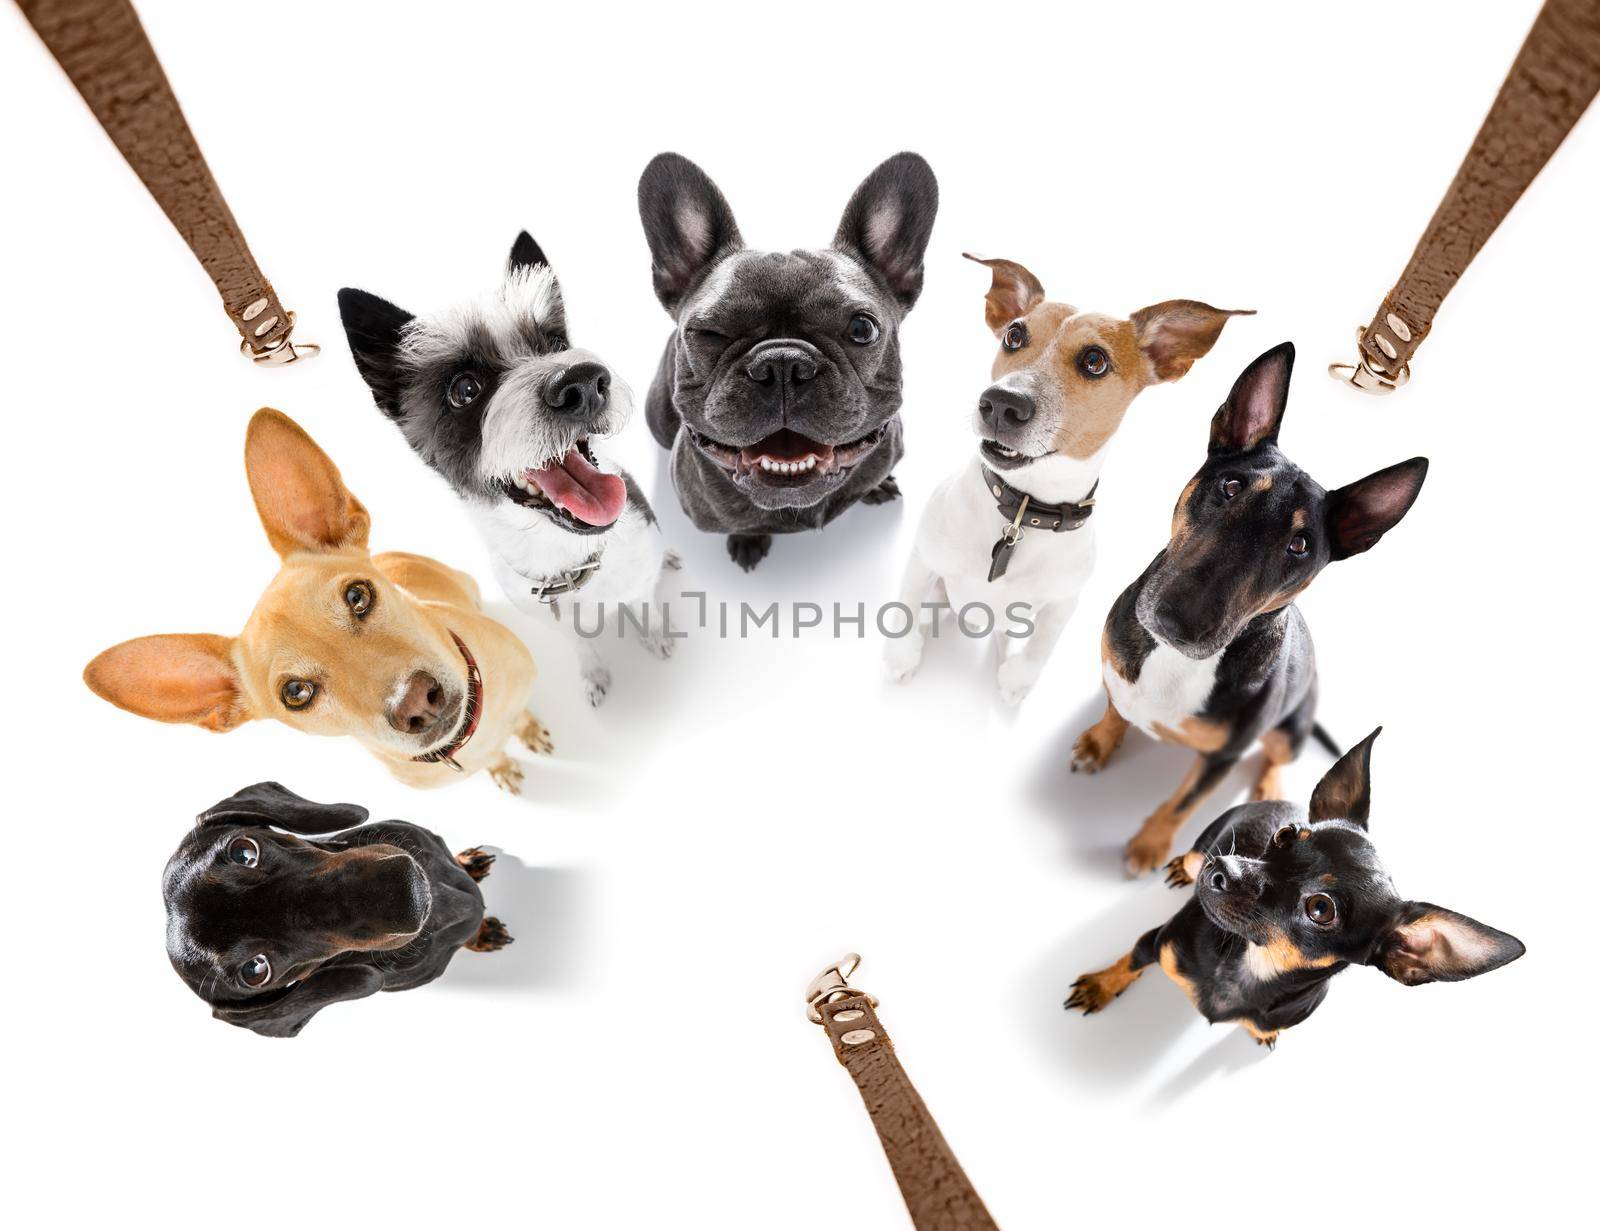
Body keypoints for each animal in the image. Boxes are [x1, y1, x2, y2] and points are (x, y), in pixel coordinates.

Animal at [1062, 729, 1523, 1050]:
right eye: (1286, 836)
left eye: (1321, 909)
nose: (1222, 868)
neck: (1248, 966)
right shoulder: (1155, 943)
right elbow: (1129, 964)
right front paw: (1101, 985)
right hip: (1200, 850)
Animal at [1075, 339, 1427, 870]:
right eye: (1231, 487)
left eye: (1299, 545)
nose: (1177, 621)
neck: (1177, 664)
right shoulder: (1117, 670)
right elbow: (1116, 708)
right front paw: (1099, 743)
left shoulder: (1222, 759)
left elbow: (1184, 802)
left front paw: (1150, 845)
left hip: (1291, 727)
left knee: (1277, 760)